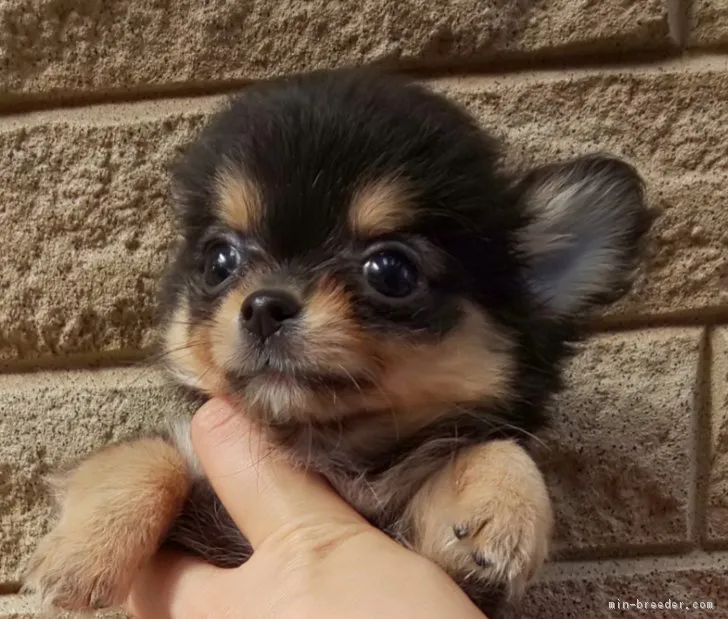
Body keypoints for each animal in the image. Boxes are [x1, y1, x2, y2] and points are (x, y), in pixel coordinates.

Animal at [22, 69, 652, 619]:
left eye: (391, 271)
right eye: (219, 260)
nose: (264, 305)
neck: (329, 448)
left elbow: (497, 447)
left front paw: (504, 507)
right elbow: (142, 454)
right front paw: (77, 555)